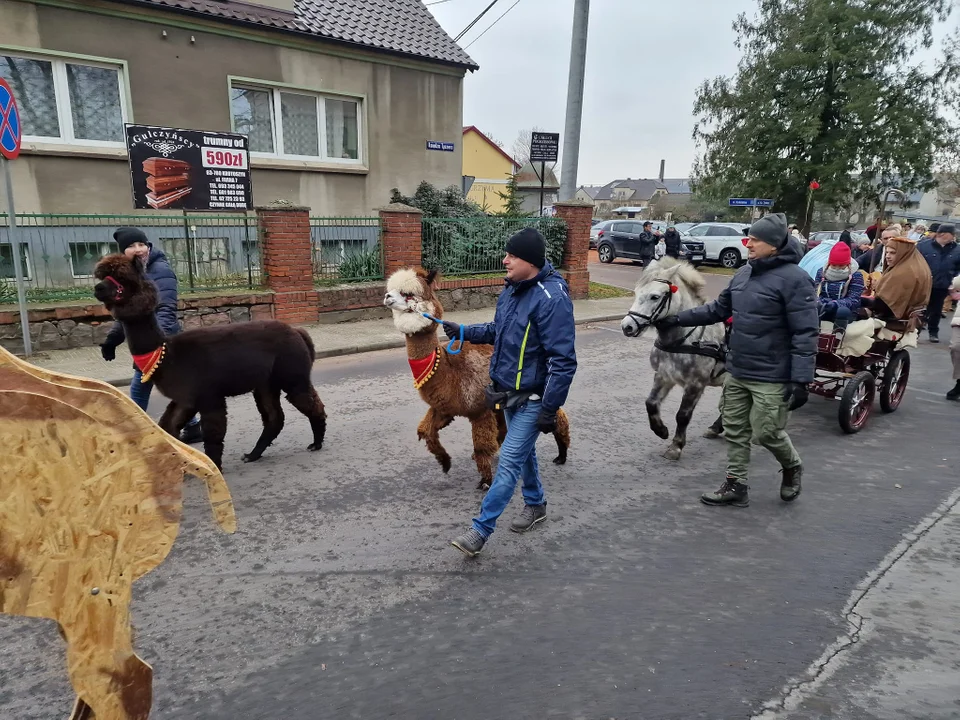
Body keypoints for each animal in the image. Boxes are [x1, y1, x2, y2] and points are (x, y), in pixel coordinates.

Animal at [620, 258, 724, 458]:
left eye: (655, 296)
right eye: (636, 292)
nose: (627, 326)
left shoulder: (695, 384)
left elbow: (682, 415)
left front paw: (676, 445)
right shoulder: (664, 376)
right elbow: (651, 403)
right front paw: (660, 430)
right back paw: (716, 427)